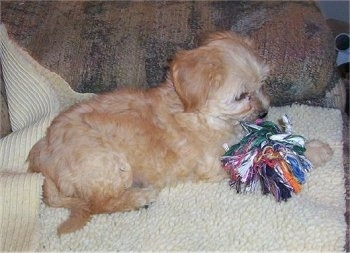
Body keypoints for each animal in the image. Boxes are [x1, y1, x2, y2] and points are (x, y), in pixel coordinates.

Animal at [26, 32, 328, 235]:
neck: (197, 112)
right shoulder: (215, 162)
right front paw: (312, 150)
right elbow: (258, 156)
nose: (265, 112)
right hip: (108, 164)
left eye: (263, 84)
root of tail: (43, 162)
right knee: (100, 204)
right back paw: (139, 198)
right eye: (241, 96)